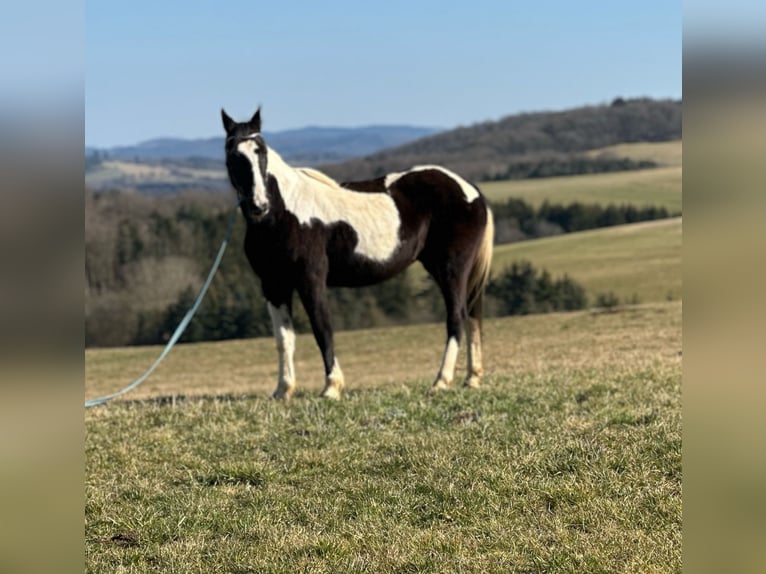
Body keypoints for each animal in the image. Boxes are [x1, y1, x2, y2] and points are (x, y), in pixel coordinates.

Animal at [225, 108, 496, 400]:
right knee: (471, 315)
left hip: (451, 268)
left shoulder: (311, 280)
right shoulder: (274, 285)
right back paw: (471, 378)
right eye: (233, 154)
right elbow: (284, 338)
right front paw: (283, 391)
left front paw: (332, 387)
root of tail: (470, 190)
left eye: (261, 151)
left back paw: (441, 381)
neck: (285, 212)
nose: (258, 205)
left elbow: (322, 329)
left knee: (457, 318)